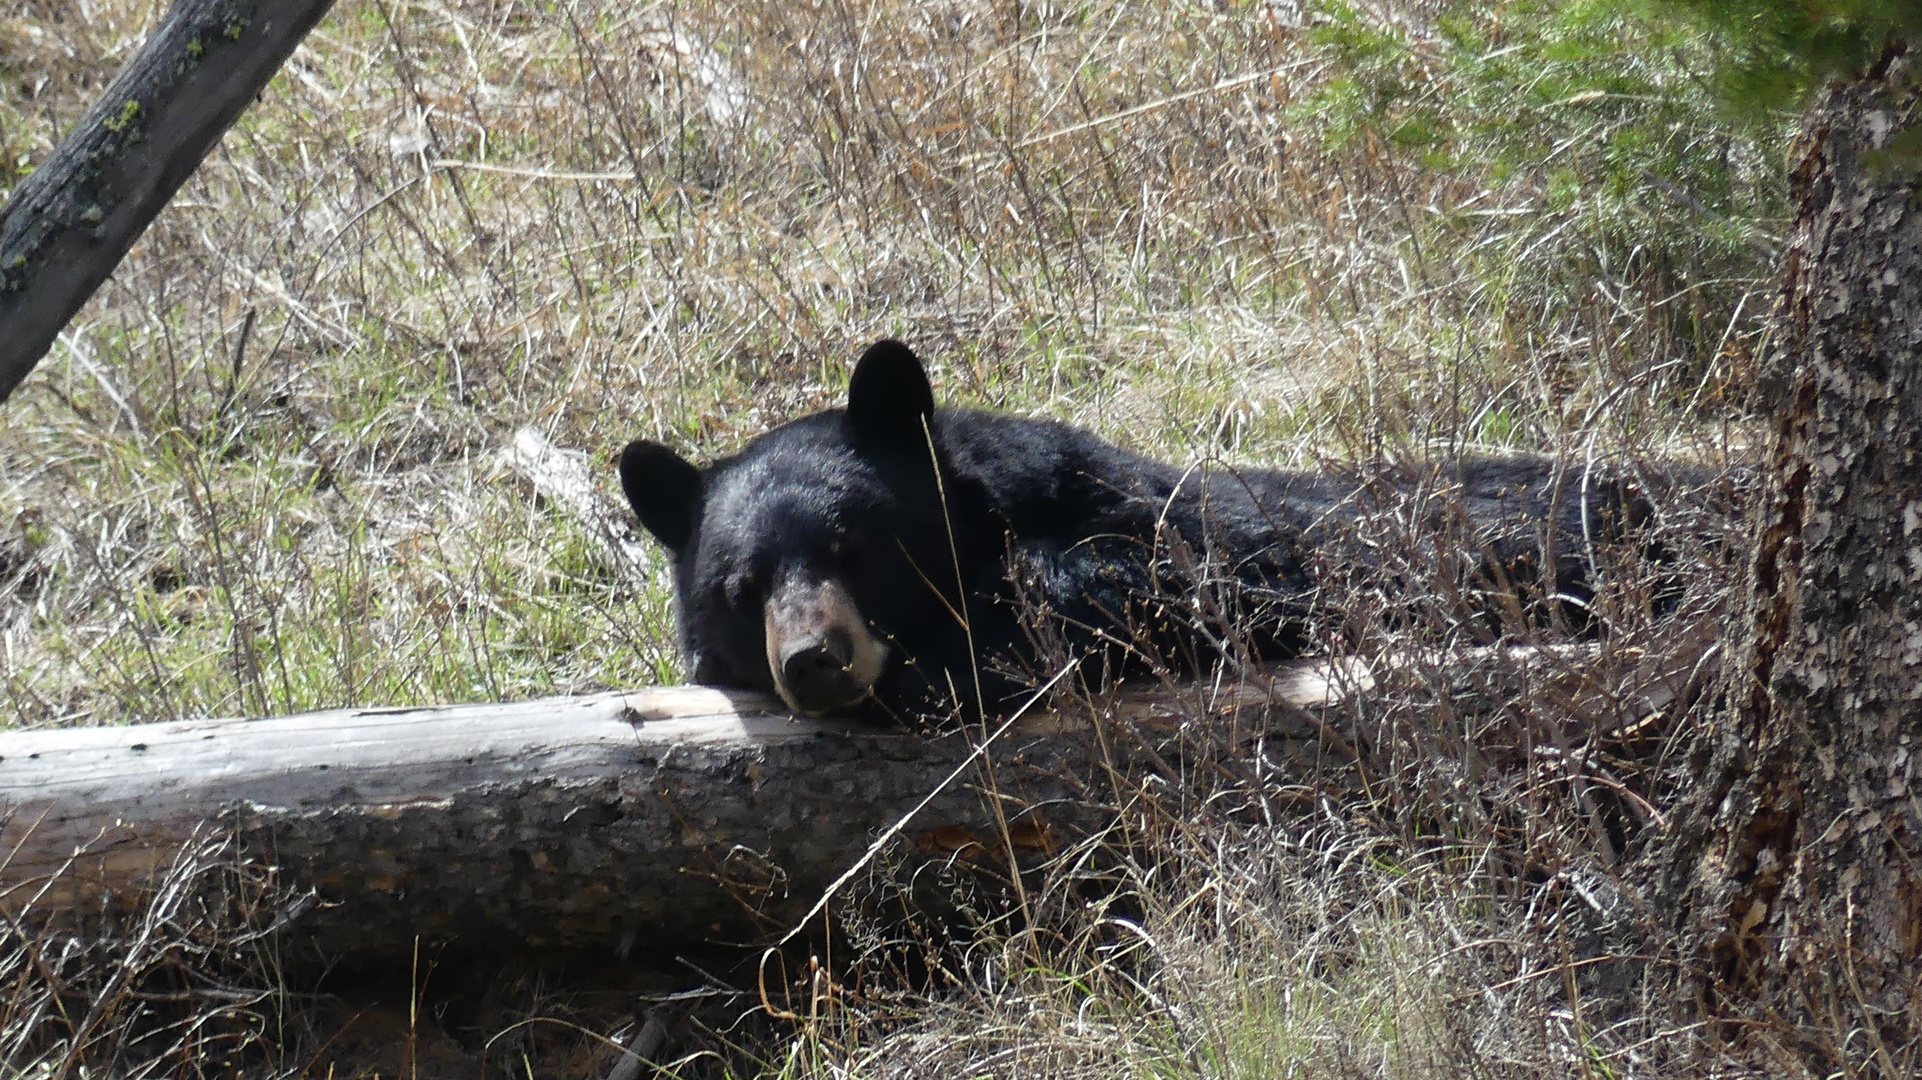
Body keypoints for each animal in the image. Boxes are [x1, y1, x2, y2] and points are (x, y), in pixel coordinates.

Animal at [618, 340, 1652, 718]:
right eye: (739, 589)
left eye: (855, 549)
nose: (813, 661)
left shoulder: (1201, 535)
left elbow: (1183, 580)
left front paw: (958, 659)